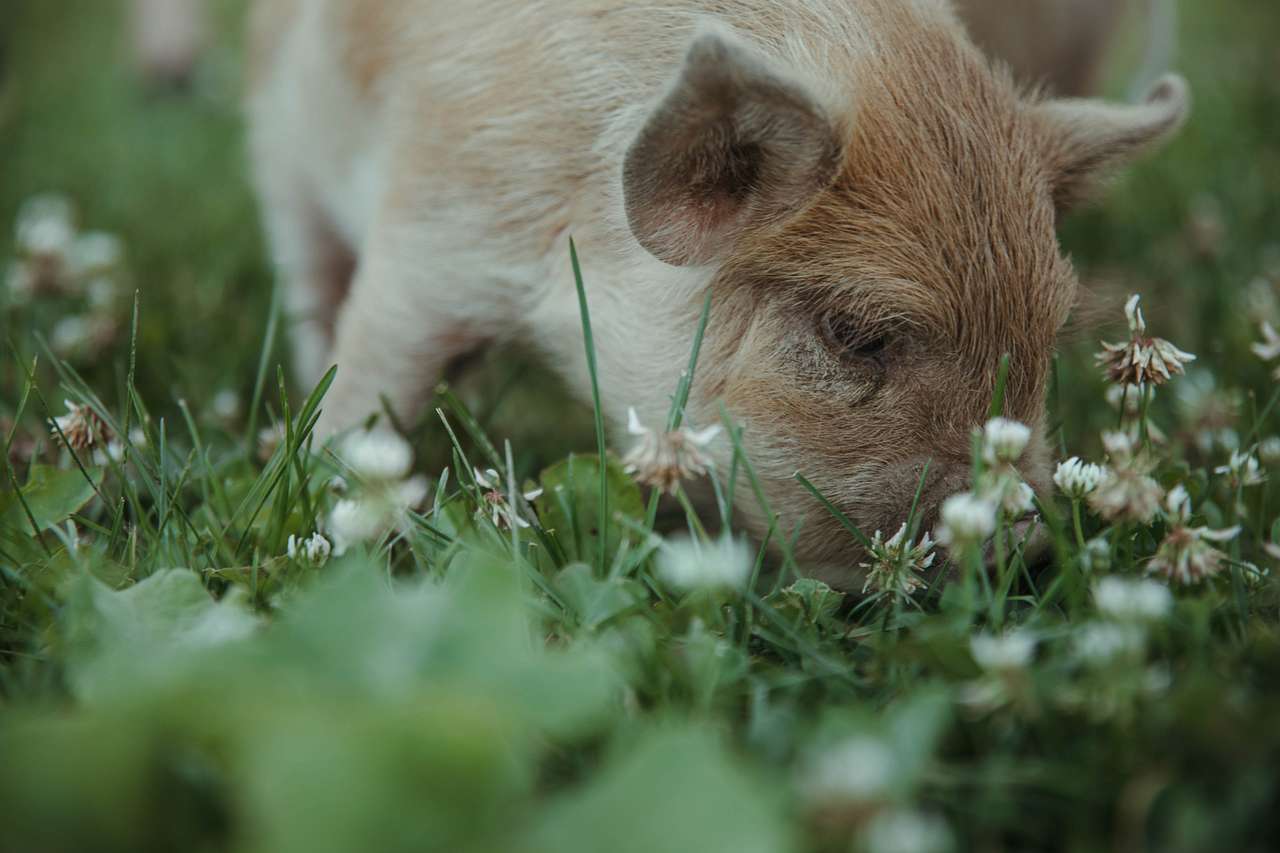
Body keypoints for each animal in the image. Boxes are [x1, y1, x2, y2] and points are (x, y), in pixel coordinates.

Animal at [247, 0, 1188, 586]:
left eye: (1045, 334)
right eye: (853, 331)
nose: (1025, 544)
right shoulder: (436, 230)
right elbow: (376, 364)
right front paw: (334, 486)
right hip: (282, 149)